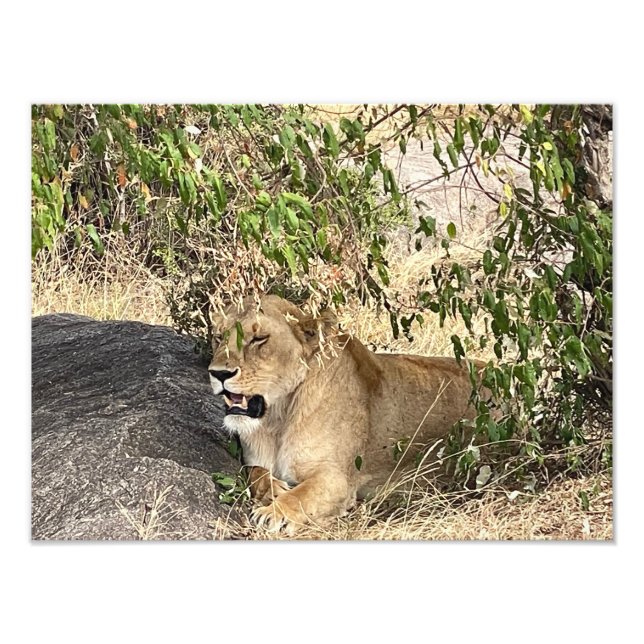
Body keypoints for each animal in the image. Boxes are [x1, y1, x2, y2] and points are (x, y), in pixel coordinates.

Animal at [208, 295, 483, 532]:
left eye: (259, 338)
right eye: (219, 336)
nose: (218, 373)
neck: (277, 418)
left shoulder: (336, 479)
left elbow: (301, 495)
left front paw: (273, 513)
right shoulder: (254, 458)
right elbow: (255, 472)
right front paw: (273, 489)